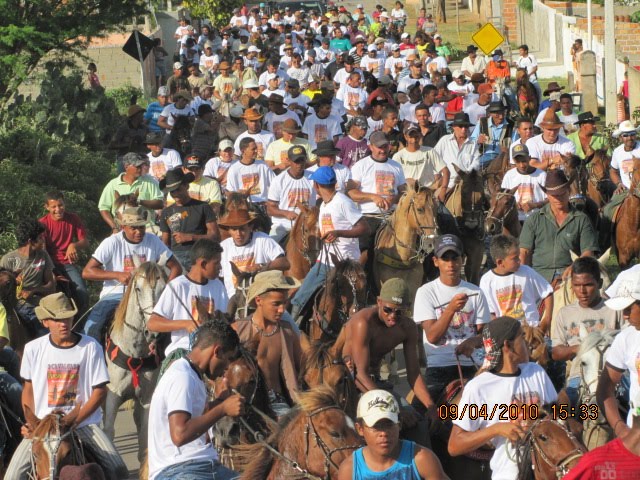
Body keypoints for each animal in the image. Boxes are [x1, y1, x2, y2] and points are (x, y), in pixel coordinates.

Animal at [102, 258, 169, 464]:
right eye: (138, 289)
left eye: (164, 288)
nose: (153, 333)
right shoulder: (113, 395)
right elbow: (109, 431)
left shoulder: (146, 399)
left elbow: (145, 436)